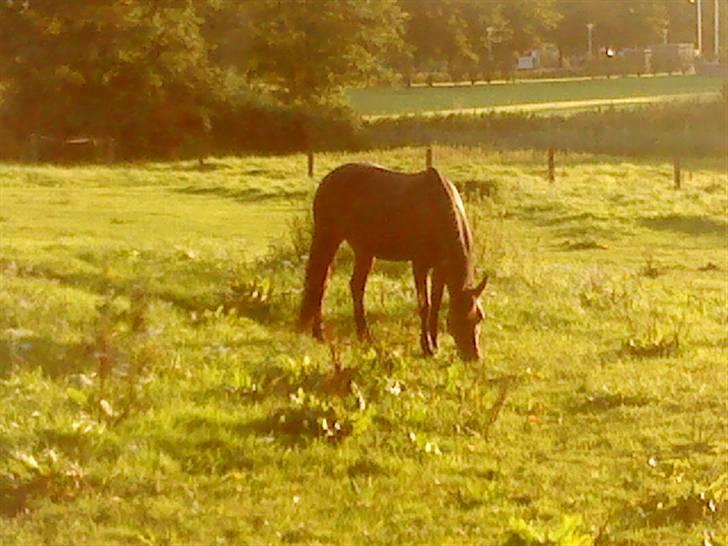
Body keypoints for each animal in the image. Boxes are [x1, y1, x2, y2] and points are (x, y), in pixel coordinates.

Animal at [297, 163, 488, 360]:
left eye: (480, 317)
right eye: (457, 320)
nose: (474, 356)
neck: (437, 209)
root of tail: (328, 179)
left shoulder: (441, 268)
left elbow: (435, 304)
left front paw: (435, 344)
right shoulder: (420, 265)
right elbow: (425, 305)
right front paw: (426, 347)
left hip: (364, 251)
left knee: (353, 286)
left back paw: (363, 335)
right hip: (328, 237)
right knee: (319, 282)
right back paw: (320, 334)